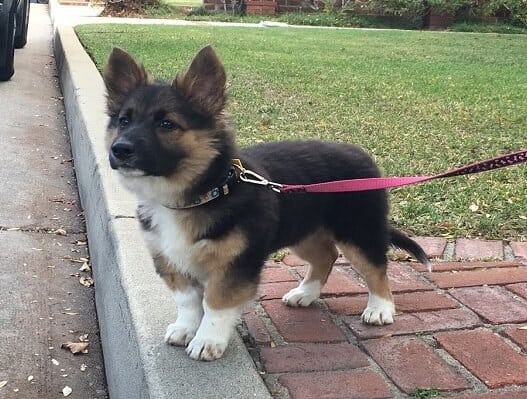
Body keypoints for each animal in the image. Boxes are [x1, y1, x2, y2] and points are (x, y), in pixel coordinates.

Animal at [102, 47, 428, 362]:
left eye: (167, 124)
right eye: (124, 121)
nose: (119, 150)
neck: (201, 193)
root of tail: (363, 156)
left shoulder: (236, 263)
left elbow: (216, 303)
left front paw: (208, 340)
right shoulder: (169, 258)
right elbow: (187, 300)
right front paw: (185, 328)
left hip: (358, 232)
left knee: (376, 267)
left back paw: (380, 308)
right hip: (303, 232)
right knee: (327, 256)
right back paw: (305, 293)